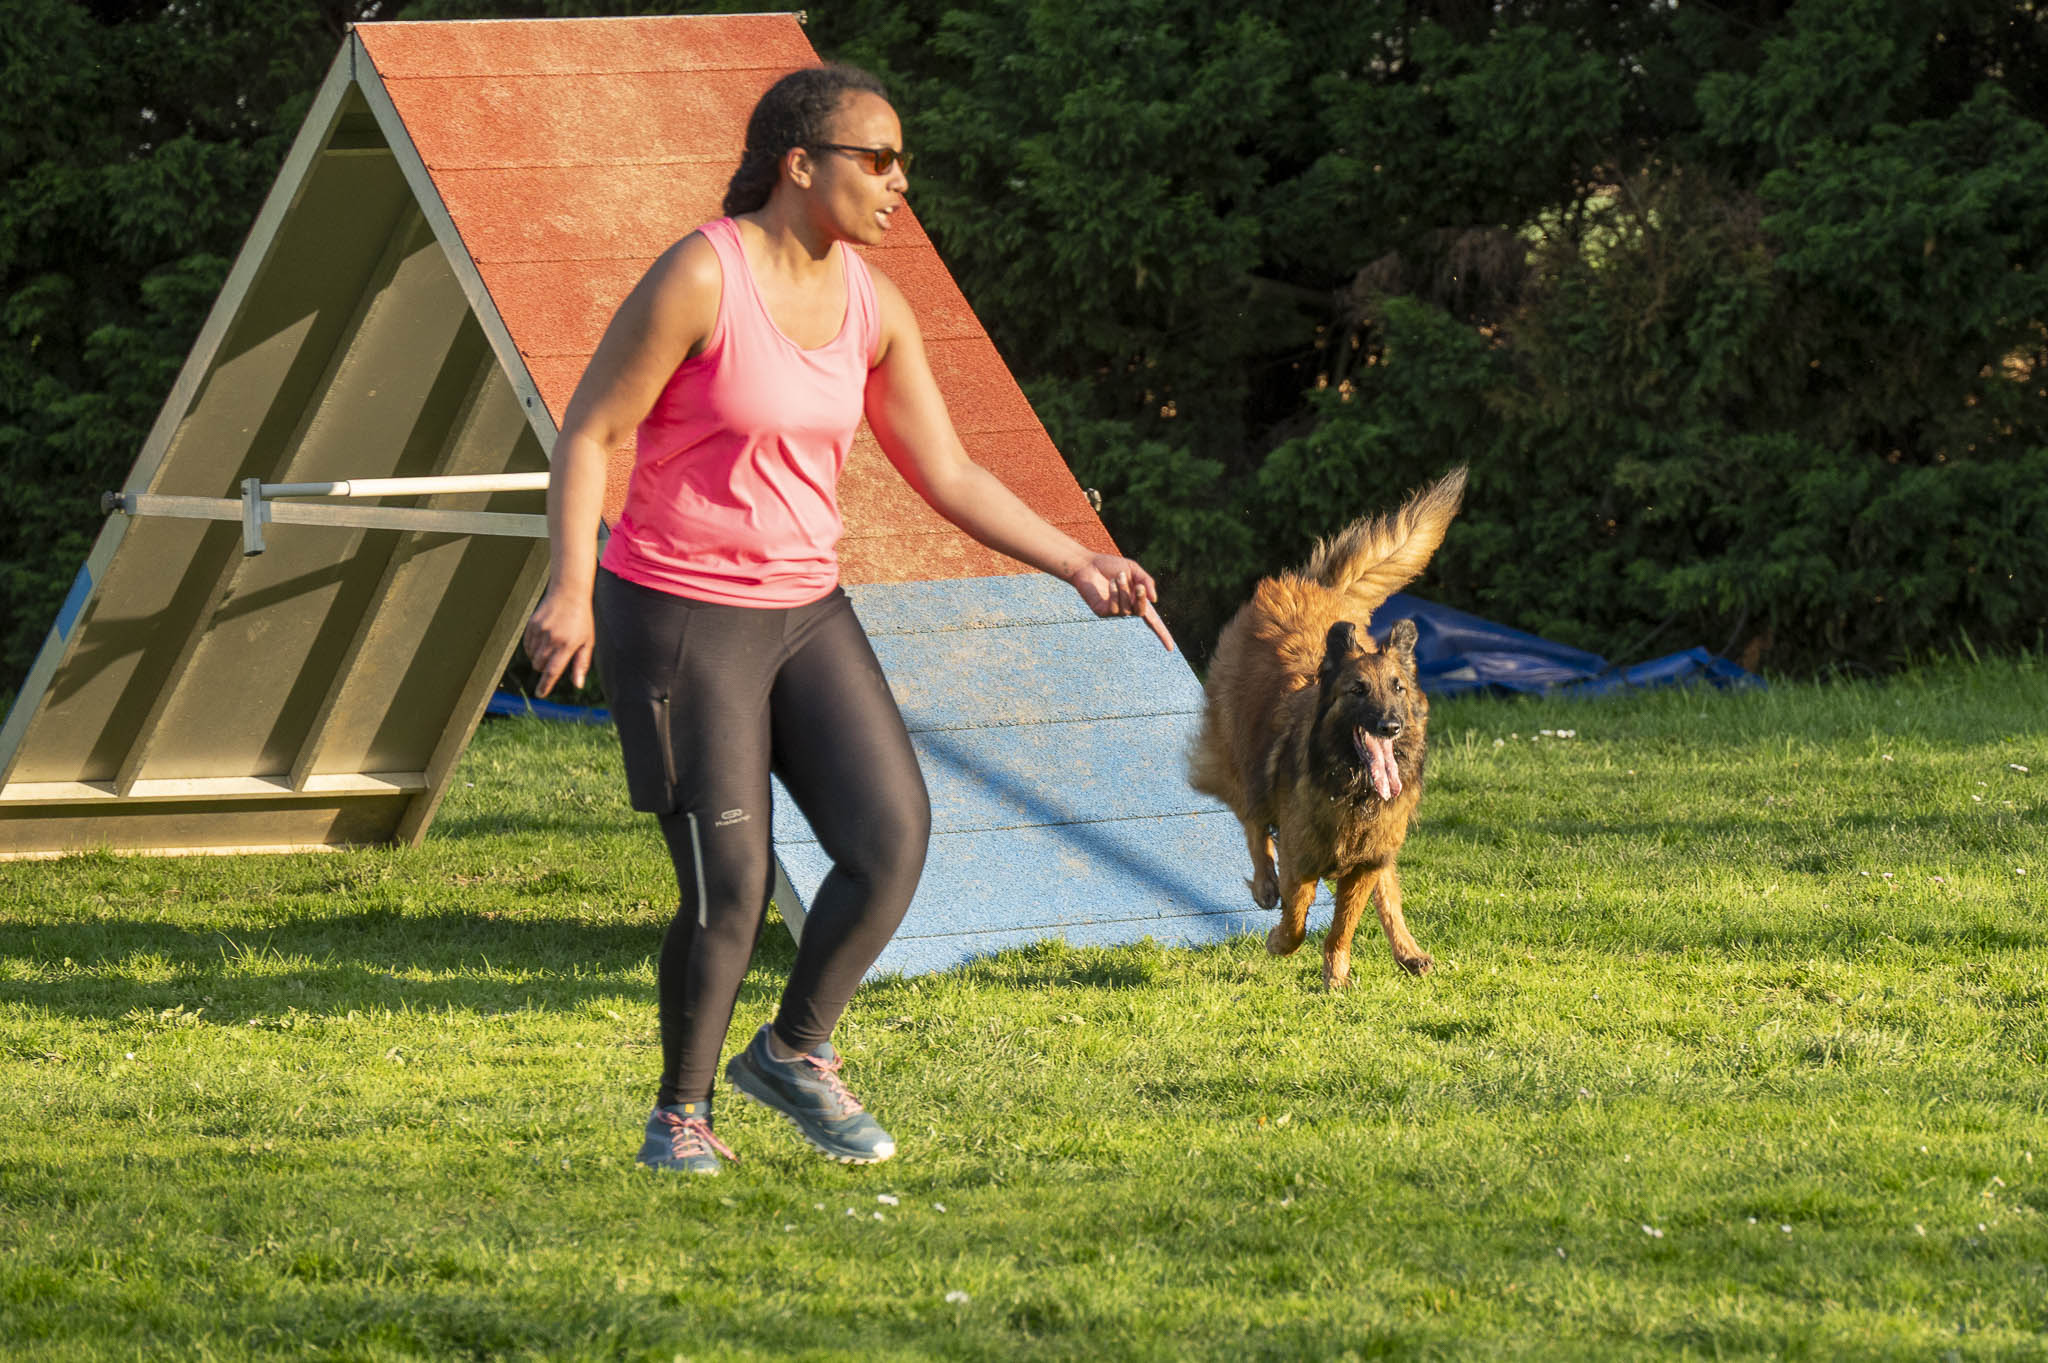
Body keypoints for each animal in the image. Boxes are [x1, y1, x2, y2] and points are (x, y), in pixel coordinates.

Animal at [1188, 467, 1466, 988]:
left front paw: (1335, 978)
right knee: (1253, 821)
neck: (1353, 790)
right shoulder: (1302, 861)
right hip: (1244, 756)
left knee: (1388, 887)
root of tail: (1301, 584)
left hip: (1381, 845)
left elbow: (1344, 925)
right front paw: (1279, 940)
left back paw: (1408, 951)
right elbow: (1297, 920)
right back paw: (1264, 884)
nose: (1390, 726)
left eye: (1398, 687)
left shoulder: (1364, 862)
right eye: (1358, 690)